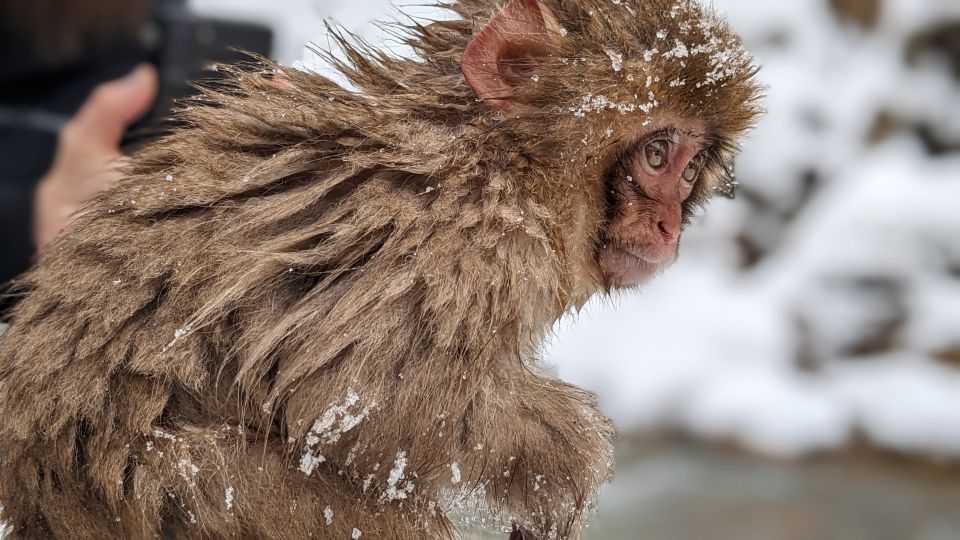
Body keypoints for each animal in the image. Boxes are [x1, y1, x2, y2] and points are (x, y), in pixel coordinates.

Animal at [0, 0, 761, 538]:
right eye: (657, 154)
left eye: (690, 167)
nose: (668, 227)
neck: (502, 159)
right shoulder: (467, 241)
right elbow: (357, 393)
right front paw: (566, 462)